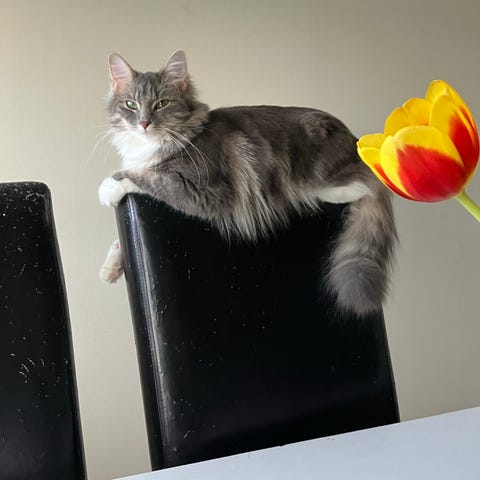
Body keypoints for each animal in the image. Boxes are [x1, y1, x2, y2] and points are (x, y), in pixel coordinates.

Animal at [98, 50, 396, 316]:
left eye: (162, 103)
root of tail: (354, 140)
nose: (144, 123)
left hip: (319, 165)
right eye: (131, 105)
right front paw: (112, 264)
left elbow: (149, 177)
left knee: (363, 186)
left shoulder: (204, 189)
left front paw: (108, 188)